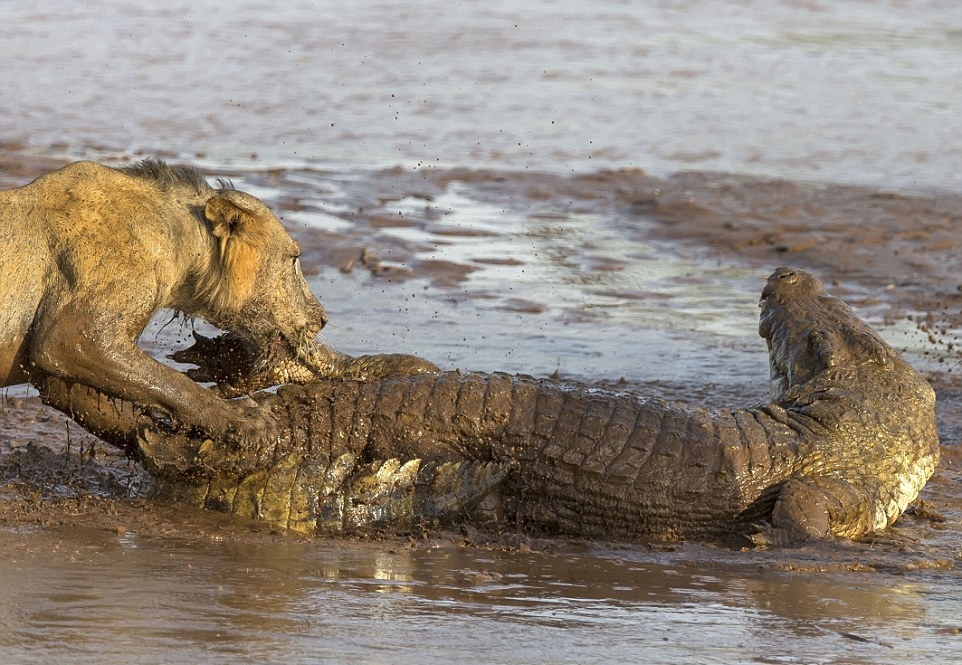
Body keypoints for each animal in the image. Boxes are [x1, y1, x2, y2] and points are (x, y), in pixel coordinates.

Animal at [0, 158, 326, 446]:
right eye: (294, 258)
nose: (321, 319)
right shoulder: (69, 337)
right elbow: (175, 383)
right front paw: (243, 420)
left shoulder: (46, 368)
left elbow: (117, 417)